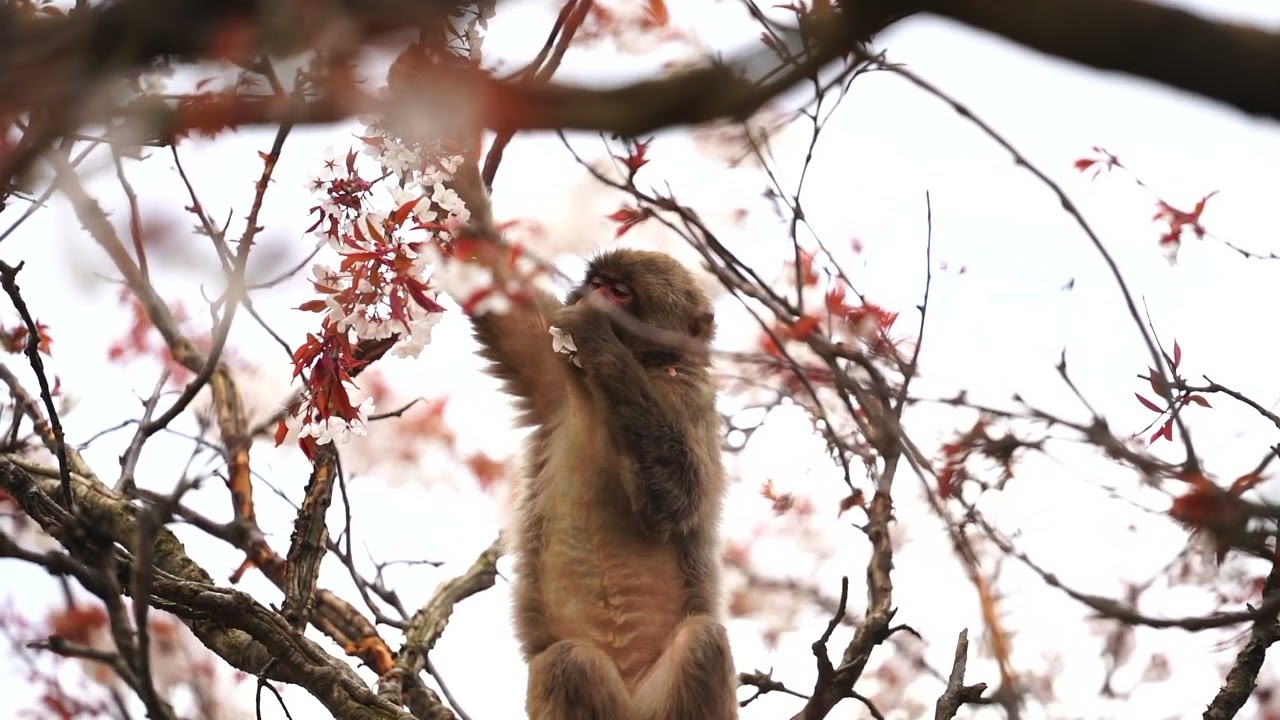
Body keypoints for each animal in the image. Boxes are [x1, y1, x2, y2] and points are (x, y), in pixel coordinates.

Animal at [469, 247, 738, 720]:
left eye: (620, 292)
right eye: (597, 283)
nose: (591, 297)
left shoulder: (691, 396)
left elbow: (677, 498)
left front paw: (599, 339)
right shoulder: (554, 370)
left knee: (701, 641)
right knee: (568, 661)